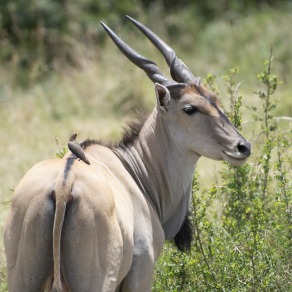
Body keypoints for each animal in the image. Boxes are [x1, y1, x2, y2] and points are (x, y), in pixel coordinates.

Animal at [3, 16, 251, 292]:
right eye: (190, 108)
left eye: (214, 99)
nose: (242, 147)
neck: (136, 168)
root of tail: (64, 185)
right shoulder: (141, 272)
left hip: (22, 279)